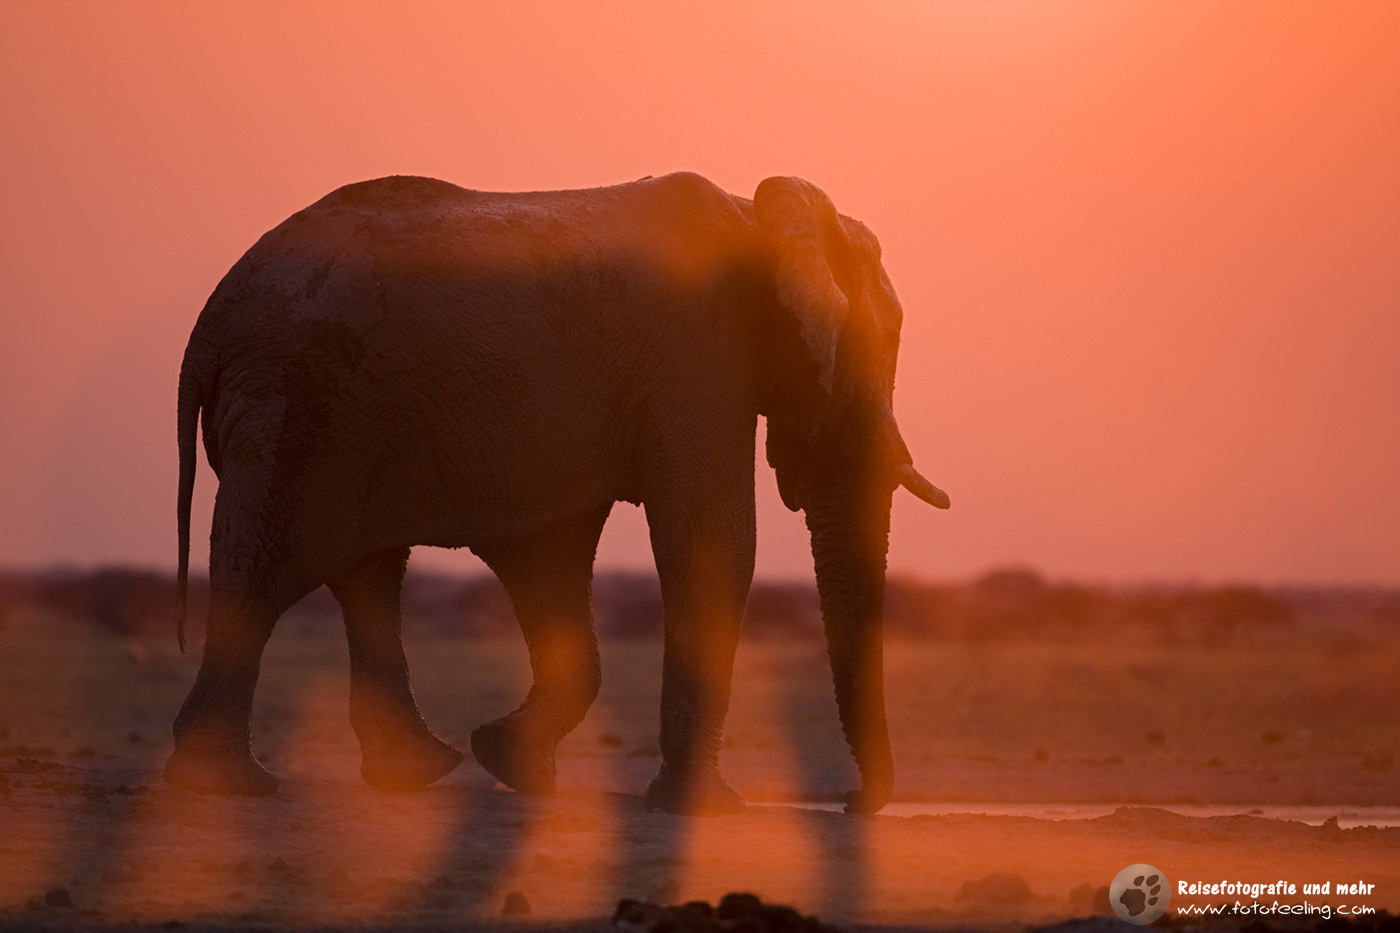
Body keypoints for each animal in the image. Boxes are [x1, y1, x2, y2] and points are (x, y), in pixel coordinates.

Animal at [165, 171, 949, 815]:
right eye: (877, 348)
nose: (851, 801)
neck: (761, 212)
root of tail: (209, 322)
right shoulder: (699, 358)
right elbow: (712, 539)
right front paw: (704, 810)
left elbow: (551, 557)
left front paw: (512, 763)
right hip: (295, 400)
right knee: (268, 565)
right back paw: (229, 784)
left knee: (367, 574)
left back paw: (412, 773)